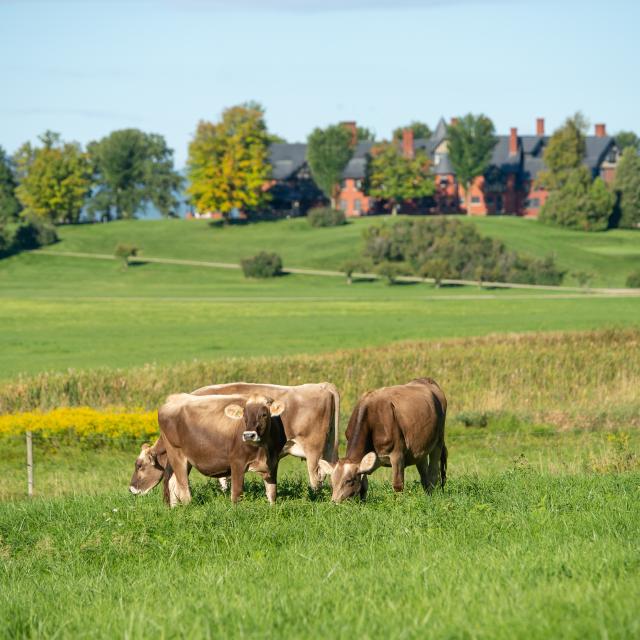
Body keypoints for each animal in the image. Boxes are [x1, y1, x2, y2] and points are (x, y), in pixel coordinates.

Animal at [130, 392, 284, 508]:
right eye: (244, 416)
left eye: (264, 414)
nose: (131, 489)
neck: (262, 450)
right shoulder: (237, 462)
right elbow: (236, 494)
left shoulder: (273, 464)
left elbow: (272, 493)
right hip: (176, 454)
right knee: (182, 488)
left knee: (175, 484)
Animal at [318, 378, 448, 502]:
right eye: (332, 482)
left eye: (349, 480)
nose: (334, 502)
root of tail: (426, 380)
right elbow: (364, 486)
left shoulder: (397, 455)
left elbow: (398, 485)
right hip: (420, 449)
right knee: (424, 475)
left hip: (438, 441)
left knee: (433, 474)